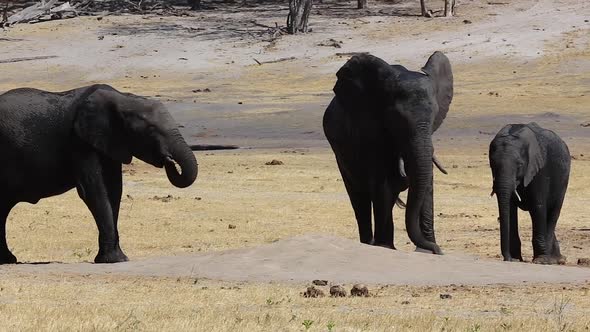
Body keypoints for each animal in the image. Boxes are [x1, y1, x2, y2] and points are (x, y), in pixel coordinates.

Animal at [0, 83, 199, 264]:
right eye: (151, 130)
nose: (168, 159)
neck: (123, 99)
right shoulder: (79, 141)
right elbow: (93, 190)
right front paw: (114, 260)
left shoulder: (110, 142)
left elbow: (114, 190)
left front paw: (116, 258)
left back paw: (8, 260)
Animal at [326, 51, 456, 254]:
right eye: (396, 117)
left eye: (435, 114)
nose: (437, 250)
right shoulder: (372, 135)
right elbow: (383, 185)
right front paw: (386, 247)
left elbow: (427, 184)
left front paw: (427, 251)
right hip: (339, 153)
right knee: (359, 196)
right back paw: (368, 243)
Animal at [490, 122, 572, 264]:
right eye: (492, 165)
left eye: (519, 165)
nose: (508, 259)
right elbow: (510, 209)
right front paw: (517, 259)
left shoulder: (540, 169)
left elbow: (538, 206)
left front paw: (541, 261)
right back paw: (557, 259)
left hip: (564, 180)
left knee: (553, 213)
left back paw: (552, 260)